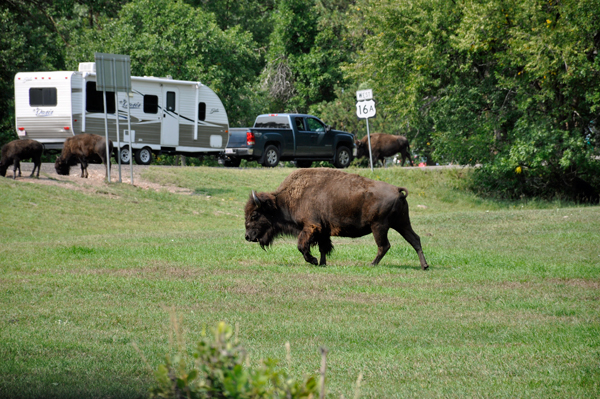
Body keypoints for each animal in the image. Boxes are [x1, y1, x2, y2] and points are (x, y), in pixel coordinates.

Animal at [246, 167, 428, 270]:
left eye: (254, 214)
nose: (247, 236)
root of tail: (397, 190)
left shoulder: (310, 227)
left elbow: (302, 246)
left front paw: (313, 261)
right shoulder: (322, 231)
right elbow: (323, 248)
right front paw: (322, 263)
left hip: (379, 226)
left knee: (384, 246)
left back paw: (372, 264)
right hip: (402, 223)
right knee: (415, 239)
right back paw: (424, 265)